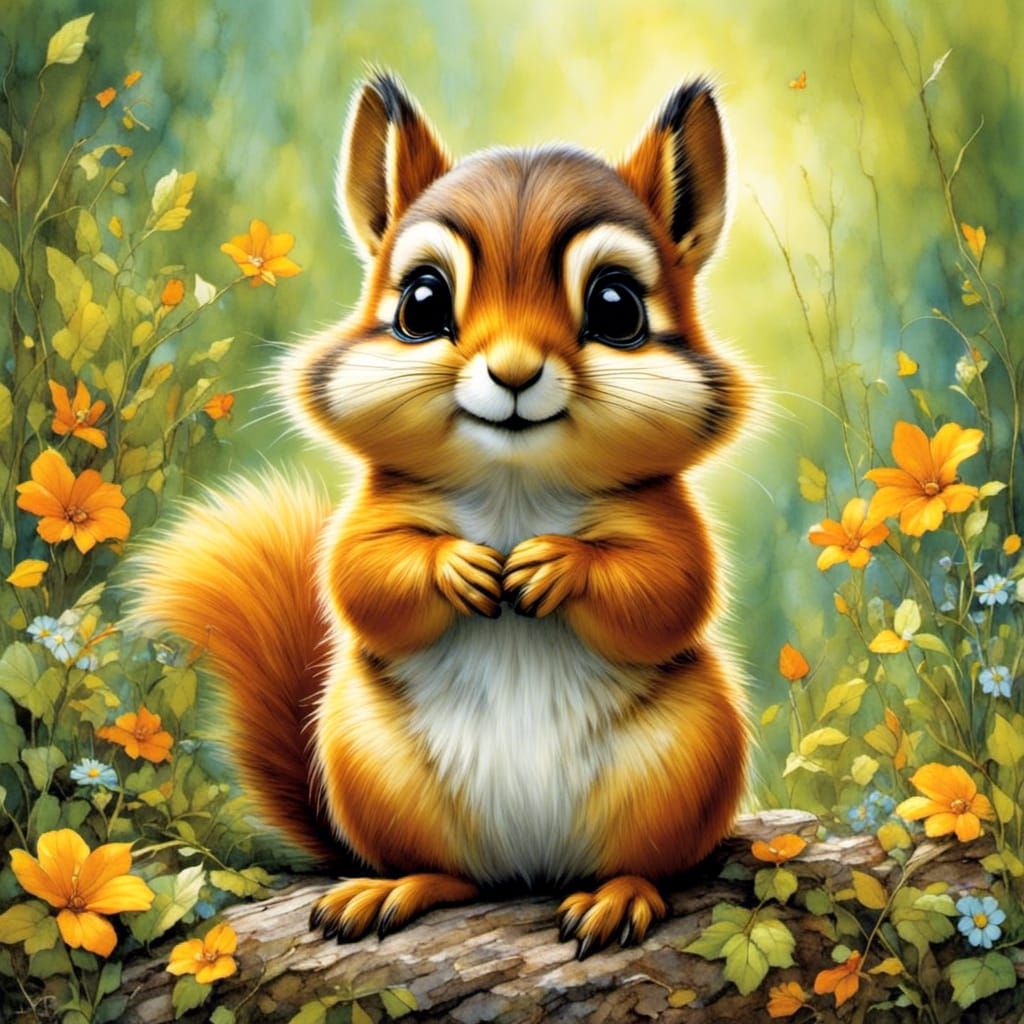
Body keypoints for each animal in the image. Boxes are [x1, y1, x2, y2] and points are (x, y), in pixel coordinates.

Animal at [133, 70, 750, 959]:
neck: (515, 487)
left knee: (650, 862)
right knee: (453, 874)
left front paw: (557, 564)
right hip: (375, 767)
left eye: (618, 308)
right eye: (422, 304)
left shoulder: (669, 521)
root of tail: (531, 868)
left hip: (686, 762)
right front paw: (457, 565)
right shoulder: (371, 512)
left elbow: (670, 590)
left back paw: (617, 897)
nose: (514, 373)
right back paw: (393, 889)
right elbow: (359, 577)